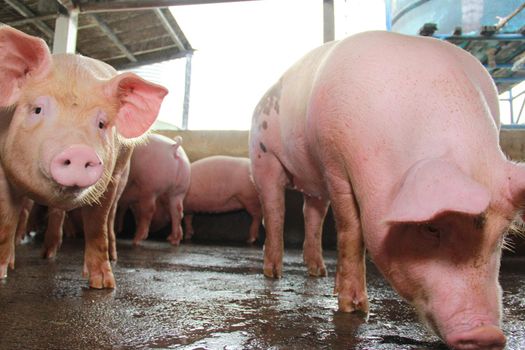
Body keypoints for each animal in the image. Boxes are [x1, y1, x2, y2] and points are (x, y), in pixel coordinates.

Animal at [0, 26, 167, 288]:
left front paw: (104, 285)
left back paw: (112, 255)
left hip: (122, 175)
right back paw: (45, 255)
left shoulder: (107, 182)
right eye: (37, 109)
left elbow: (98, 225)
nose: (79, 151)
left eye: (101, 124)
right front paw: (3, 273)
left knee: (109, 218)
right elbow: (7, 218)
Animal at [249, 29, 516, 348]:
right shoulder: (333, 161)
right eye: (431, 228)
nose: (488, 335)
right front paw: (354, 309)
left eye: (501, 235)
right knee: (275, 211)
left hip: (314, 183)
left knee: (312, 215)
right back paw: (273, 274)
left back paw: (319, 272)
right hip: (263, 157)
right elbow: (351, 230)